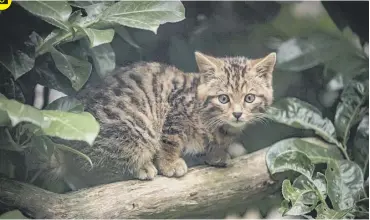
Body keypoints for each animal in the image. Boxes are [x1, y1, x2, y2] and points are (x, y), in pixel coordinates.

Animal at [71, 51, 274, 180]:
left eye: (249, 98)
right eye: (223, 98)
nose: (238, 114)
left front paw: (215, 154)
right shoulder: (176, 110)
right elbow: (169, 140)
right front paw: (169, 164)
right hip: (133, 126)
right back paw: (140, 166)